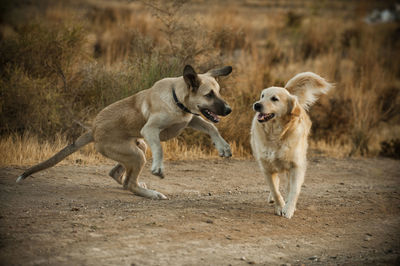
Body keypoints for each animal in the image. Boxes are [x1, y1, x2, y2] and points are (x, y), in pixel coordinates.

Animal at [17, 65, 233, 200]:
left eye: (219, 92)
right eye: (209, 95)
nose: (229, 110)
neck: (177, 99)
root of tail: (93, 130)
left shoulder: (191, 119)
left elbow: (211, 126)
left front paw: (223, 147)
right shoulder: (150, 130)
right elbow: (160, 149)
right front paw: (158, 168)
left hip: (138, 146)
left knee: (120, 175)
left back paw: (140, 185)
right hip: (137, 153)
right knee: (129, 184)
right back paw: (152, 193)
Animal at [250, 72, 332, 218]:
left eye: (274, 99)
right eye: (262, 95)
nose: (257, 105)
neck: (276, 134)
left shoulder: (296, 165)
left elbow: (294, 190)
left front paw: (288, 209)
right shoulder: (266, 167)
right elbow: (275, 190)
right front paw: (280, 206)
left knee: (288, 185)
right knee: (276, 183)